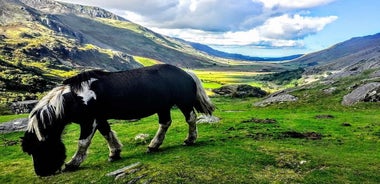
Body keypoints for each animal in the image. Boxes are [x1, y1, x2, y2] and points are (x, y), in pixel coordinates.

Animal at [20, 64, 215, 176]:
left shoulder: (89, 121)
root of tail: (186, 73)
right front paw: (115, 153)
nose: (41, 173)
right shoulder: (100, 119)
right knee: (165, 123)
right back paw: (153, 145)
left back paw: (190, 140)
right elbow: (107, 134)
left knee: (190, 119)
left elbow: (83, 143)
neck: (74, 98)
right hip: (163, 107)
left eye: (39, 148)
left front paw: (72, 164)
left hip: (183, 103)